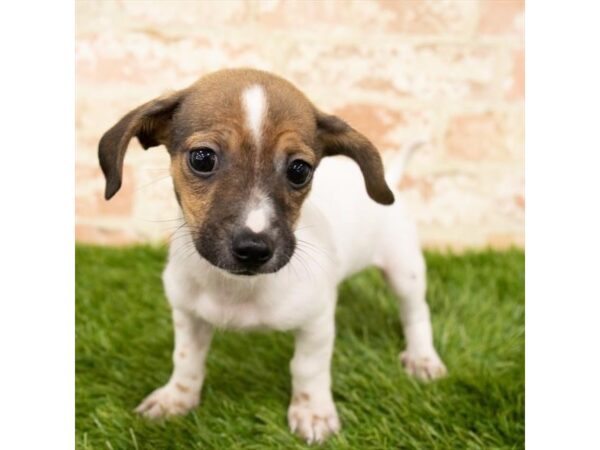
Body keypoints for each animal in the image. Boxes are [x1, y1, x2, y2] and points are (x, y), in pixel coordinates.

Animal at [97, 67, 446, 442]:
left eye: (299, 170)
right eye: (202, 158)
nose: (254, 248)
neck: (238, 288)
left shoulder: (316, 323)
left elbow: (308, 368)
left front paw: (313, 412)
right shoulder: (189, 316)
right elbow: (186, 360)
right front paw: (176, 399)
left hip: (404, 271)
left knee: (416, 313)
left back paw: (423, 358)